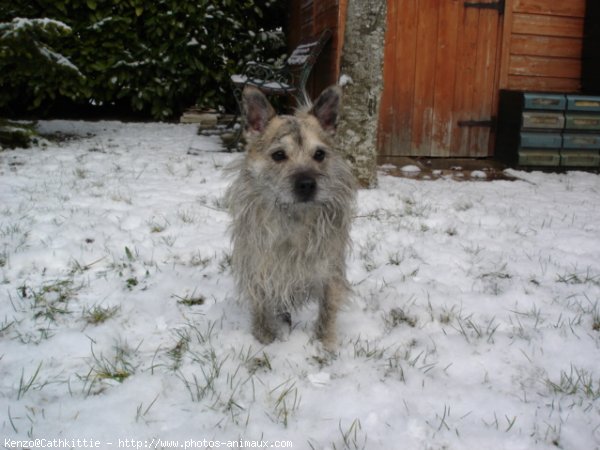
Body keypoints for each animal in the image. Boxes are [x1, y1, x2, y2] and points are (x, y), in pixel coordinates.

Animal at [226, 85, 356, 352]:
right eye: (278, 155)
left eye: (319, 154)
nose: (307, 184)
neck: (294, 215)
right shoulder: (259, 266)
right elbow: (261, 305)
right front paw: (263, 338)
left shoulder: (330, 269)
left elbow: (328, 309)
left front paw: (326, 344)